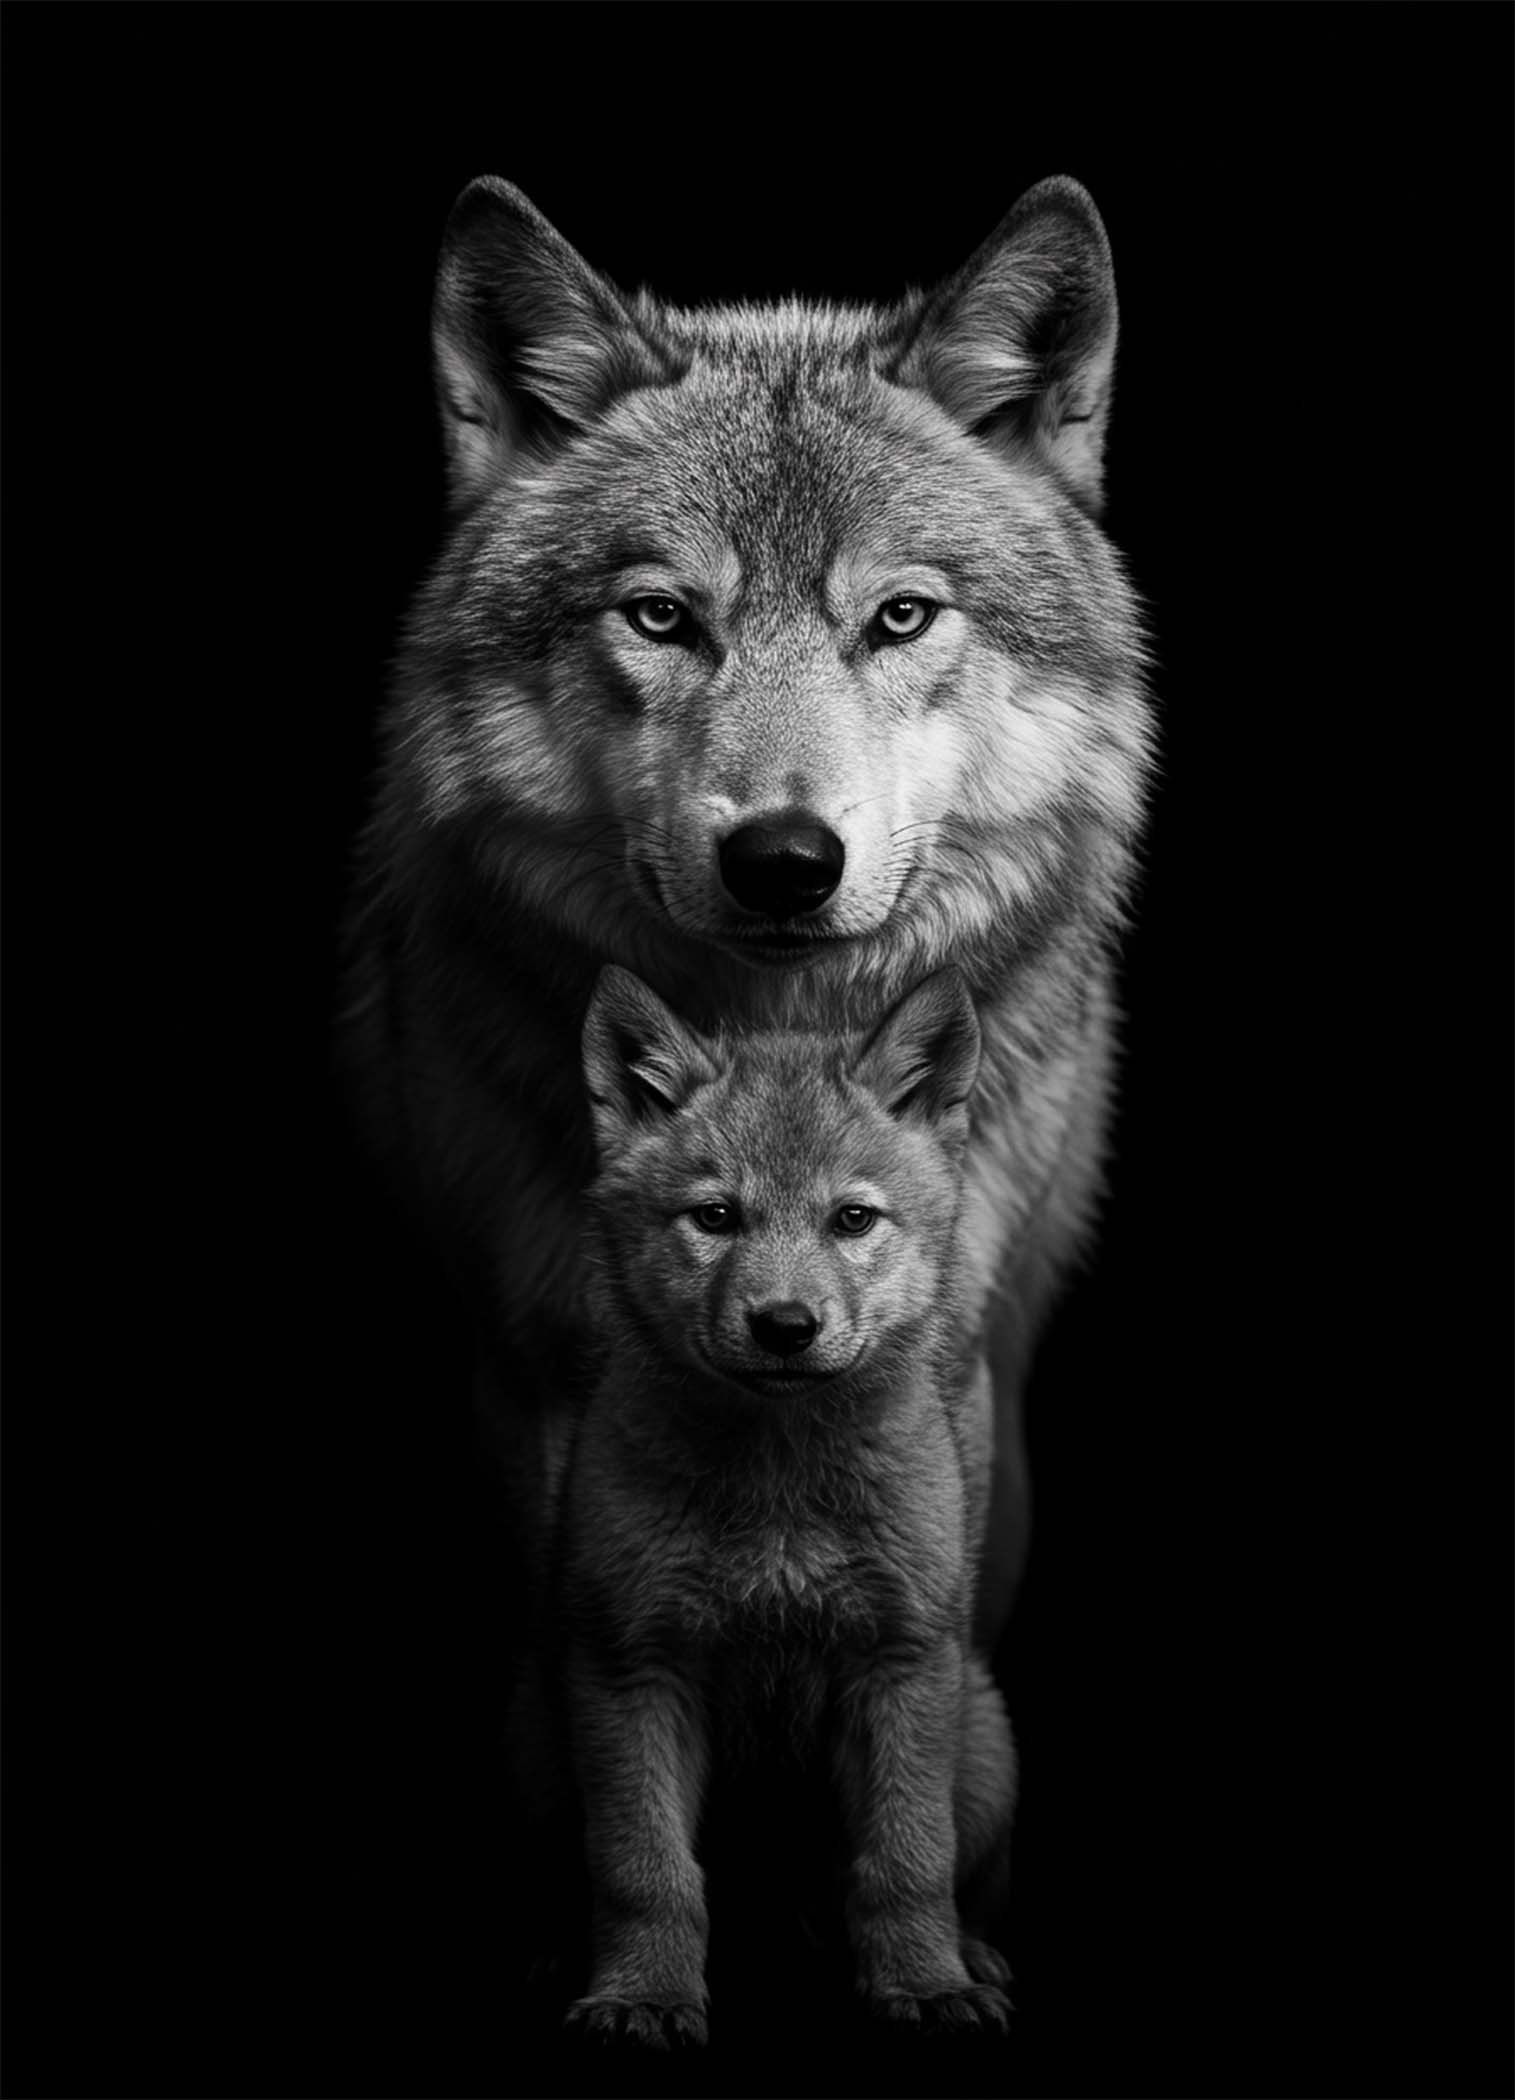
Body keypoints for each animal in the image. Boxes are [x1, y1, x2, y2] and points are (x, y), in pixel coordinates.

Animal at [338, 173, 1153, 1652]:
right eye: (662, 617)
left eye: (900, 617)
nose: (783, 859)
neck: (776, 1047)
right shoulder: (539, 1379)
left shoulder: (950, 1380)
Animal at [545, 961, 1014, 2043]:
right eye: (716, 1218)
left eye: (853, 1220)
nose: (785, 1326)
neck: (780, 1507)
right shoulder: (630, 1667)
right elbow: (645, 1870)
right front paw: (642, 1996)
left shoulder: (902, 1661)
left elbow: (905, 1860)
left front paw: (924, 1984)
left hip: (984, 1736)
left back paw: (969, 1953)